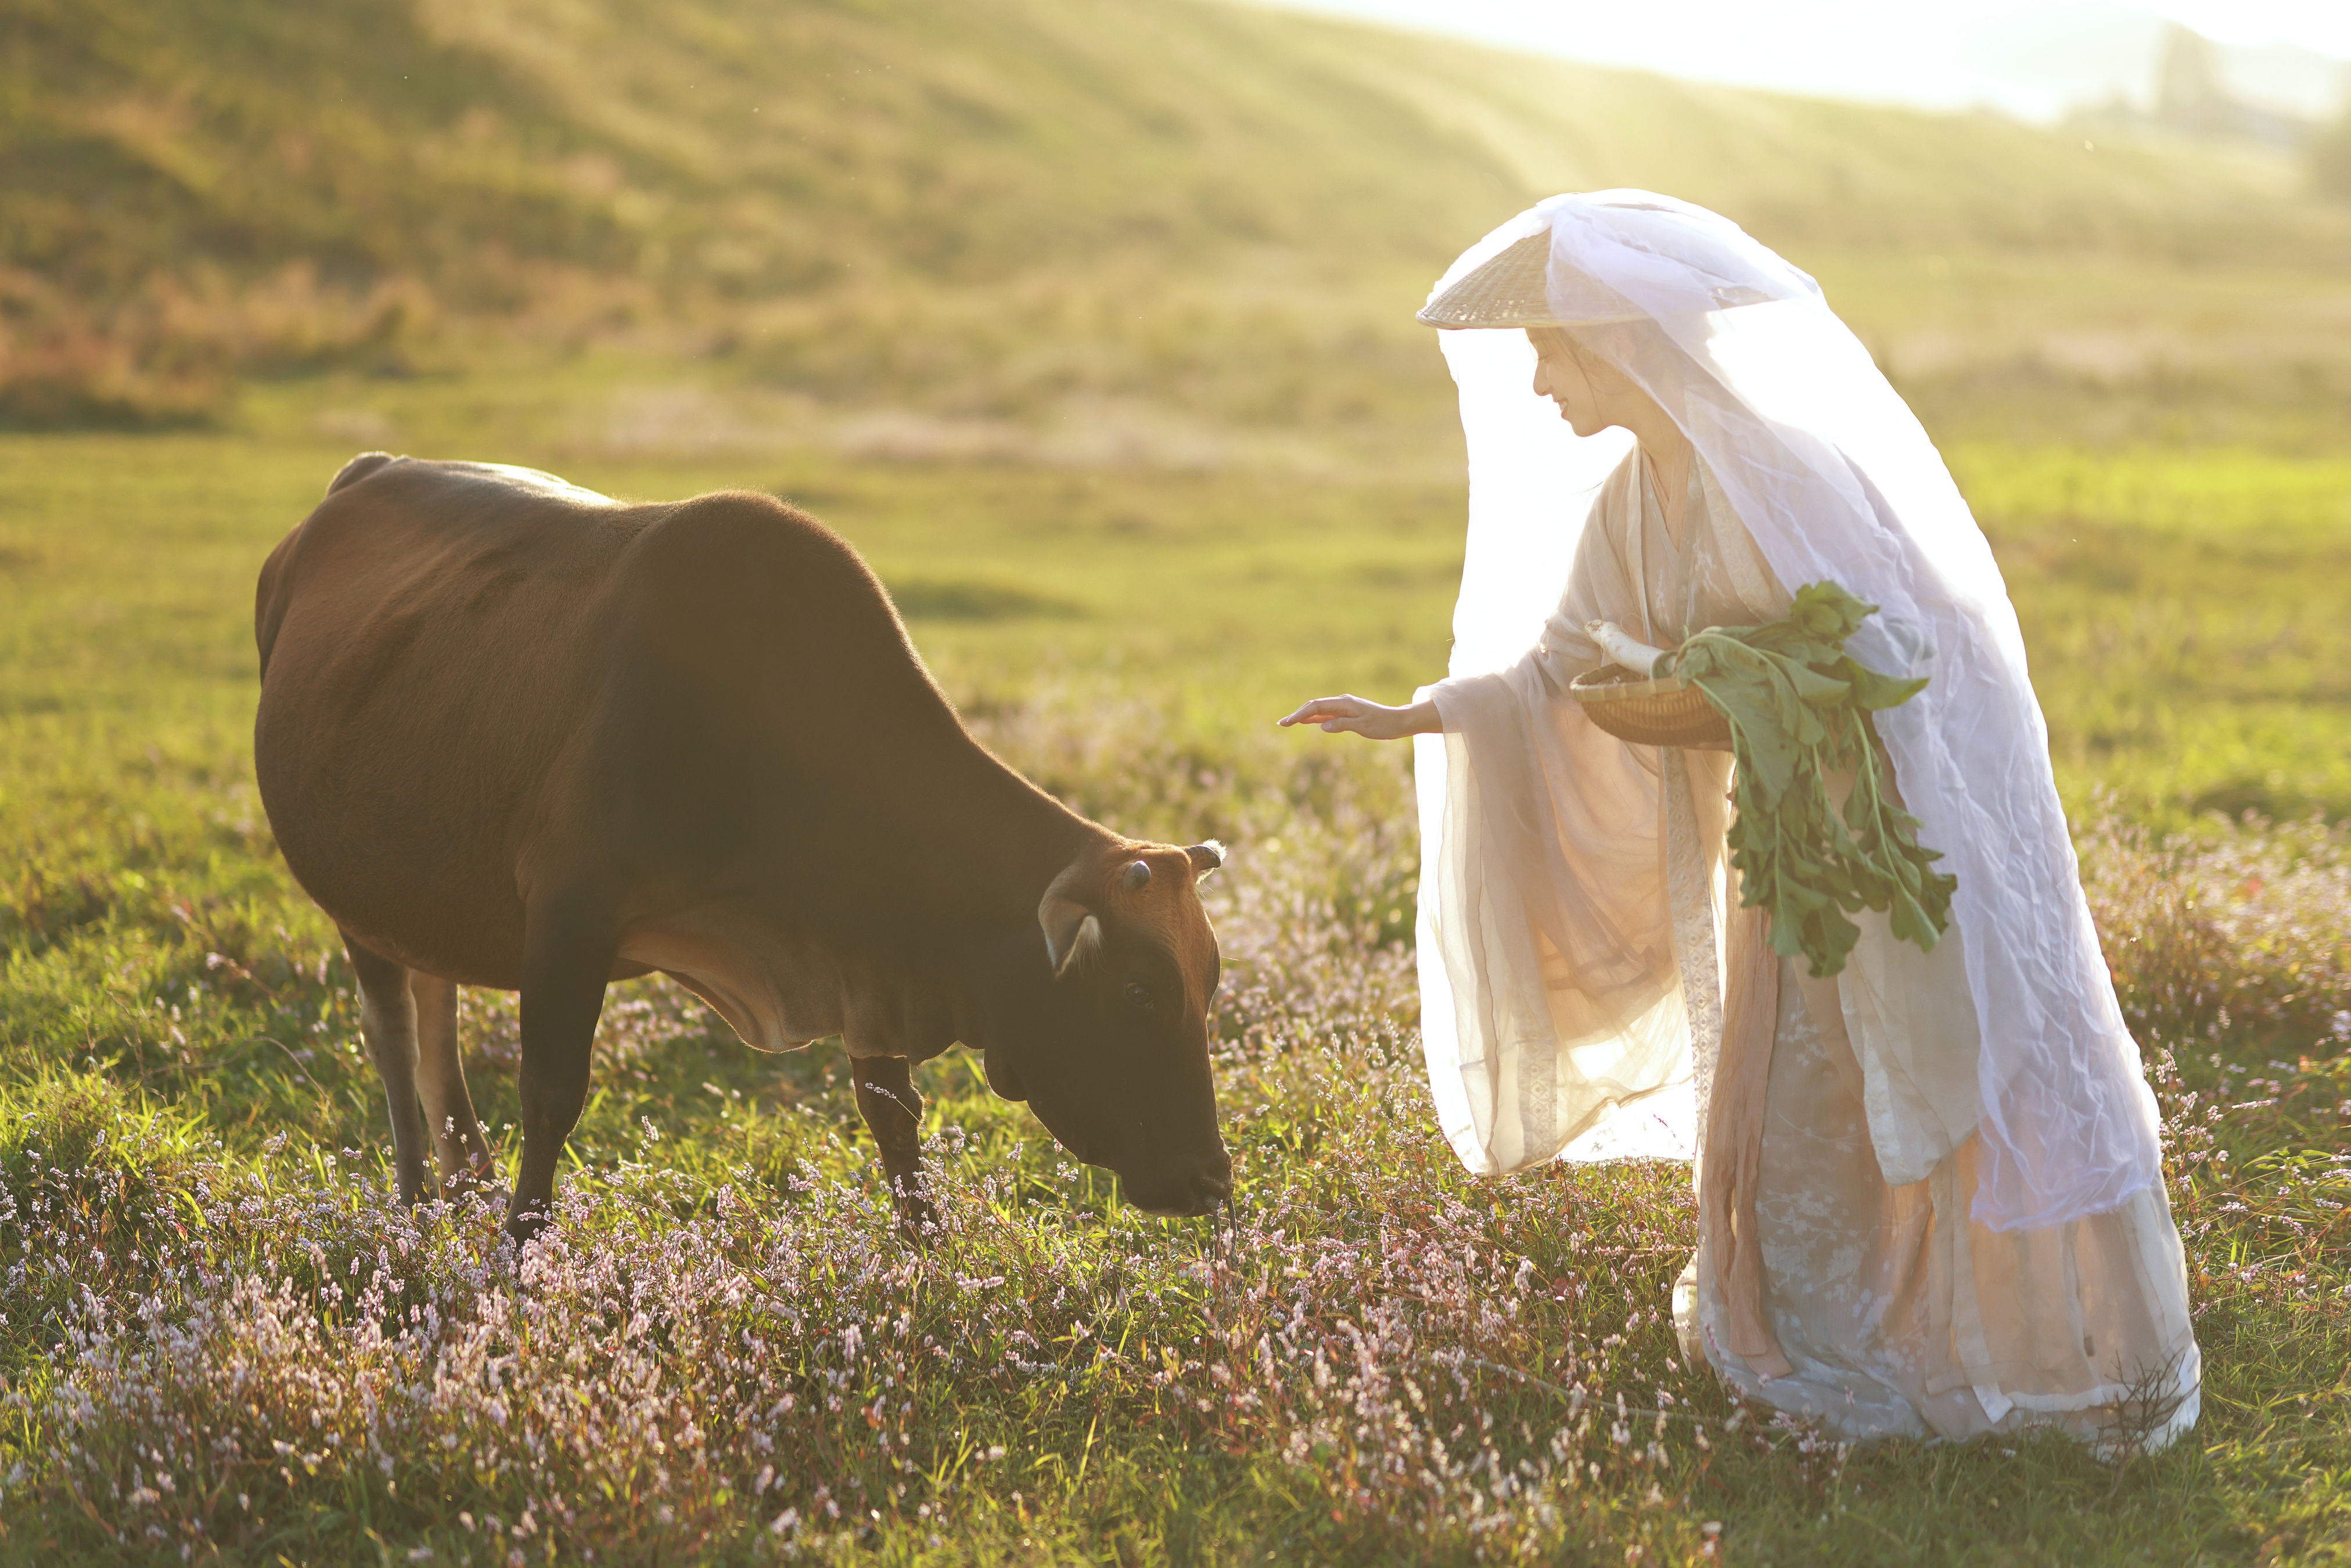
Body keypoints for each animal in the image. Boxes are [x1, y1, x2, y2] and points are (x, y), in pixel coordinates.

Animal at [255, 456, 1241, 1250]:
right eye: (1139, 991)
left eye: (1209, 985)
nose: (1212, 1180)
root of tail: (362, 478)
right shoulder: (571, 914)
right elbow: (551, 1094)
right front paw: (518, 1256)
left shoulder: (868, 964)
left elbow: (893, 1114)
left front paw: (931, 1253)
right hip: (357, 900)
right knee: (392, 1029)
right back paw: (420, 1202)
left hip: (430, 896)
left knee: (436, 1006)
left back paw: (463, 1183)